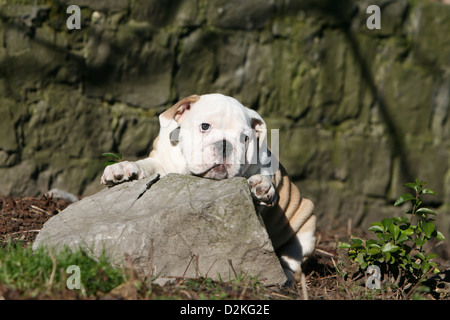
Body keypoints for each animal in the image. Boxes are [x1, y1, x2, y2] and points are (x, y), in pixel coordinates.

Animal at [101, 93, 316, 278]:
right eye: (205, 126)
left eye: (245, 138)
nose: (225, 144)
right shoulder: (161, 161)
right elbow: (146, 165)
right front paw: (123, 168)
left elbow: (264, 177)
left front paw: (261, 187)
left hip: (307, 221)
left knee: (293, 261)